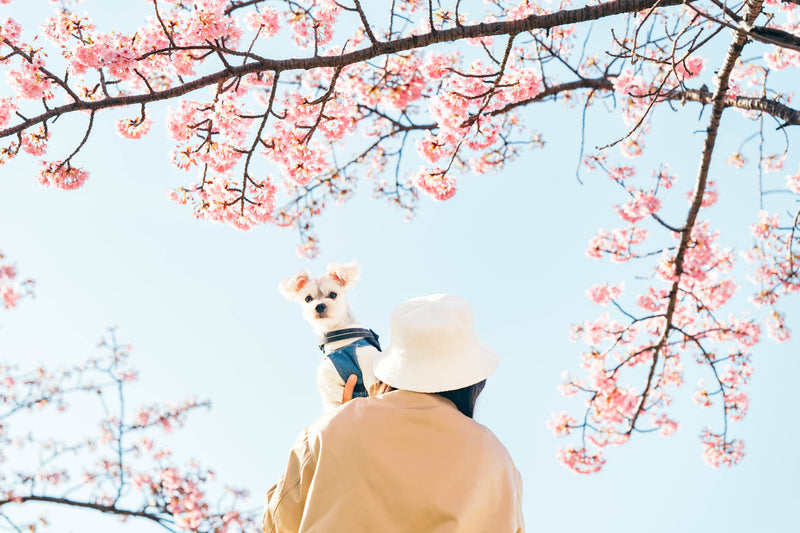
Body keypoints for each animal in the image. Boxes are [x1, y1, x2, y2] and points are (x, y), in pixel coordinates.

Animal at [278, 260, 382, 410]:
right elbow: (335, 407)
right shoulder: (329, 386)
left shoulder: (370, 369)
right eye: (308, 299)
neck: (340, 342)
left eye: (333, 295)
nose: (319, 306)